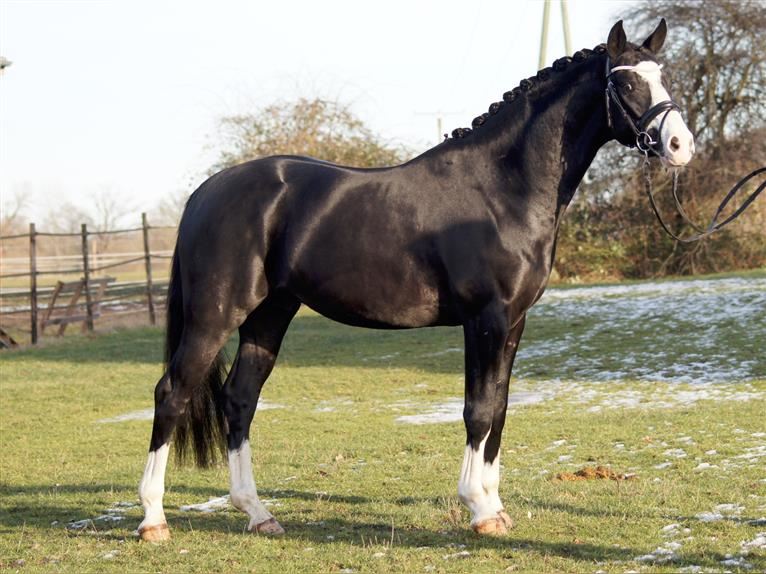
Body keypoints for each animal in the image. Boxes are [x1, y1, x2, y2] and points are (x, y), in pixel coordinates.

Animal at [137, 19, 694, 541]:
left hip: (269, 315)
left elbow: (500, 409)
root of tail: (205, 192)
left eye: (662, 76)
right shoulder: (485, 320)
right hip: (215, 315)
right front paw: (480, 509)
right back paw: (153, 520)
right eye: (625, 81)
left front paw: (496, 507)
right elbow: (478, 410)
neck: (502, 188)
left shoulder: (514, 323)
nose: (679, 145)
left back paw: (258, 514)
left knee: (239, 399)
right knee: (172, 393)